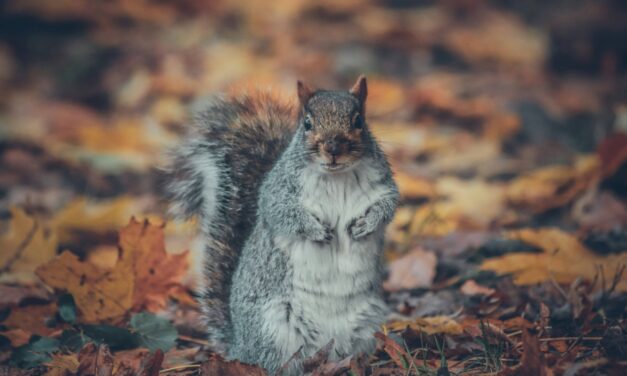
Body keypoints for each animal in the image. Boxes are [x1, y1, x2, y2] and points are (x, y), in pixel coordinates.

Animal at [164, 76, 400, 374]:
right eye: (307, 123)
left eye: (358, 121)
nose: (333, 149)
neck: (336, 177)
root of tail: (239, 347)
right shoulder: (276, 191)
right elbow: (282, 212)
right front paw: (316, 230)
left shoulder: (383, 186)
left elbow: (388, 206)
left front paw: (366, 225)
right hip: (274, 328)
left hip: (368, 323)